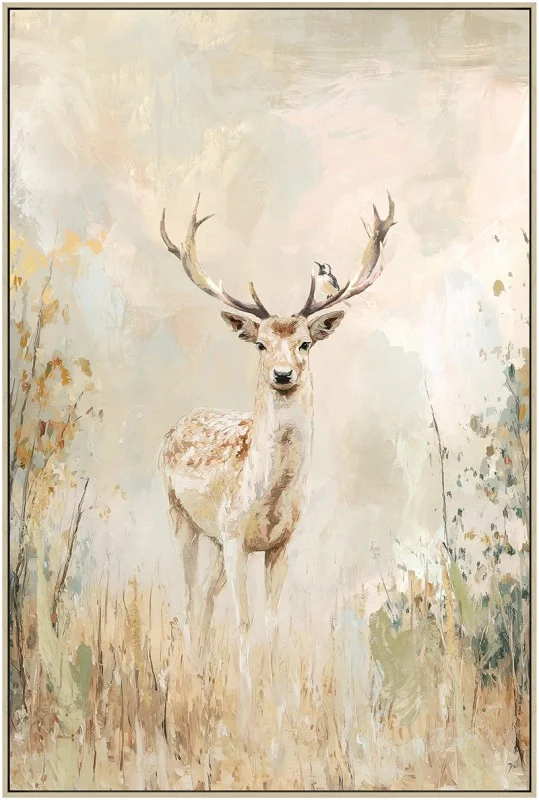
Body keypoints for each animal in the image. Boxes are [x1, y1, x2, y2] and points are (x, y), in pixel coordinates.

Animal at [158, 193, 396, 726]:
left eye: (305, 342)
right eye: (262, 344)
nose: (283, 373)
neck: (267, 498)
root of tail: (177, 423)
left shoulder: (280, 544)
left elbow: (270, 622)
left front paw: (276, 702)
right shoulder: (233, 536)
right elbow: (245, 623)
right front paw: (248, 708)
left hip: (216, 541)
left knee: (205, 601)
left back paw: (202, 677)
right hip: (182, 518)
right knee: (190, 598)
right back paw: (191, 681)